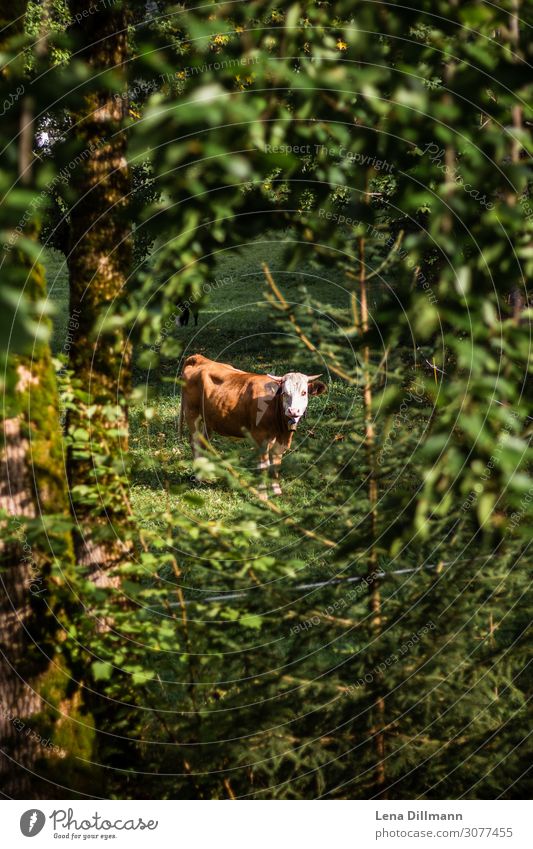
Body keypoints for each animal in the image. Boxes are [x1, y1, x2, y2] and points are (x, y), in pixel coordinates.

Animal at [181, 352, 326, 496]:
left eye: (304, 393)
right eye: (285, 393)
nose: (293, 411)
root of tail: (200, 358)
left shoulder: (281, 442)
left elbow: (276, 465)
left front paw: (276, 491)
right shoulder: (260, 437)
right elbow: (263, 466)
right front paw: (262, 494)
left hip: (209, 420)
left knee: (203, 443)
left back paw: (204, 474)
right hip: (192, 413)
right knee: (195, 442)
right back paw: (198, 478)